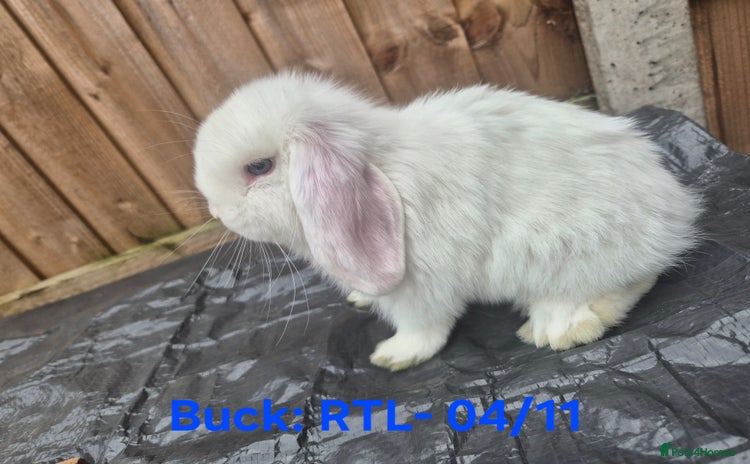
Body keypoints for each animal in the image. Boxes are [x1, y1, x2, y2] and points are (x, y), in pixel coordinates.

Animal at [193, 71, 701, 372]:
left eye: (259, 167)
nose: (217, 212)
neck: (381, 165)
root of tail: (676, 214)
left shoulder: (420, 286)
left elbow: (424, 327)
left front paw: (392, 356)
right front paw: (360, 297)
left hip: (557, 249)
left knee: (622, 286)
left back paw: (559, 329)